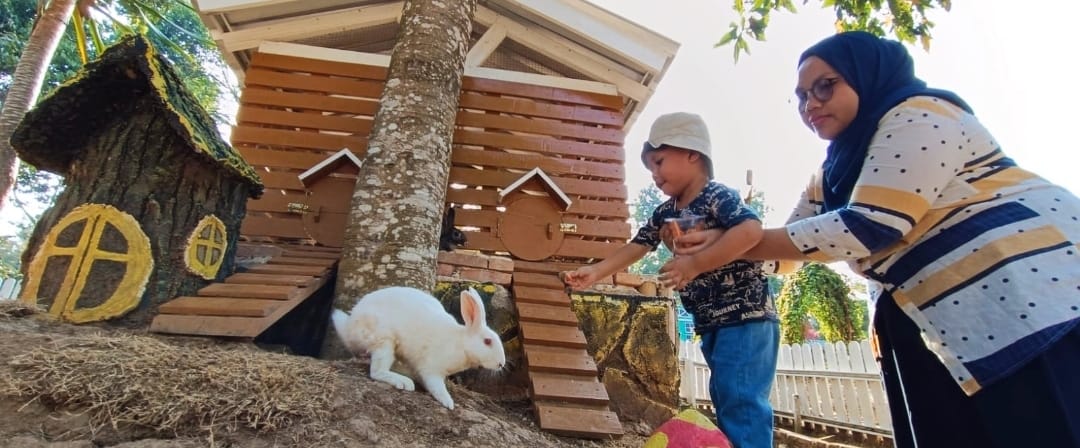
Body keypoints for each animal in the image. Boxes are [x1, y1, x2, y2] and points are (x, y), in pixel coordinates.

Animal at [328, 287, 505, 410]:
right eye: (487, 341)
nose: (501, 364)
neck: (460, 343)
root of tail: (349, 327)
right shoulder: (431, 370)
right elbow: (437, 387)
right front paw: (448, 402)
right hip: (384, 342)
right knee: (377, 372)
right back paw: (404, 382)